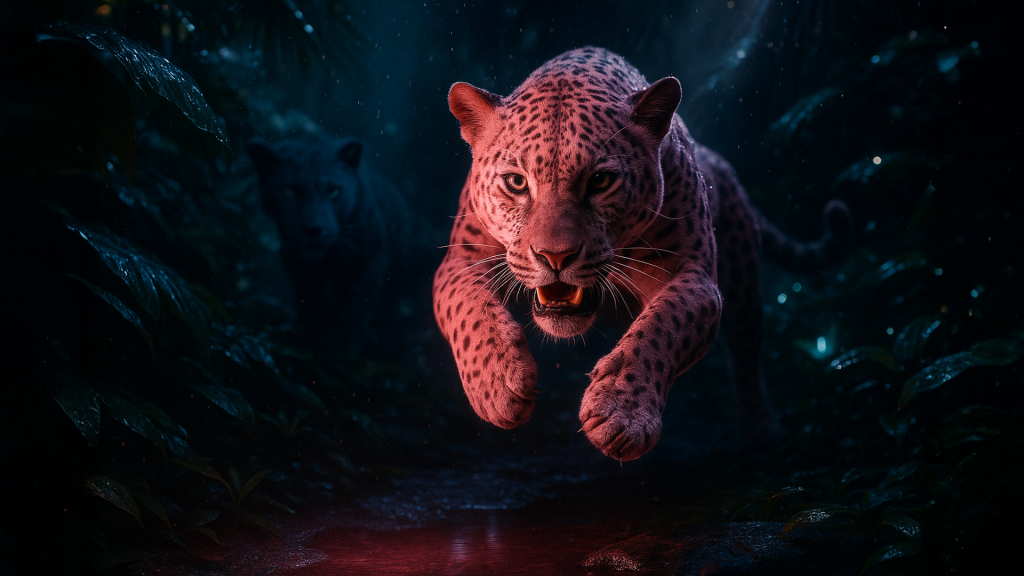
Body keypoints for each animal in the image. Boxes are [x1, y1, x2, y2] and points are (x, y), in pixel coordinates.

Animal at [433, 47, 851, 461]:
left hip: (743, 283)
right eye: (516, 183)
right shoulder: (458, 261)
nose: (555, 257)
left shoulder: (694, 275)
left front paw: (621, 413)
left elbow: (663, 325)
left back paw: (762, 432)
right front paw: (497, 384)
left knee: (747, 355)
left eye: (600, 181)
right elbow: (469, 310)